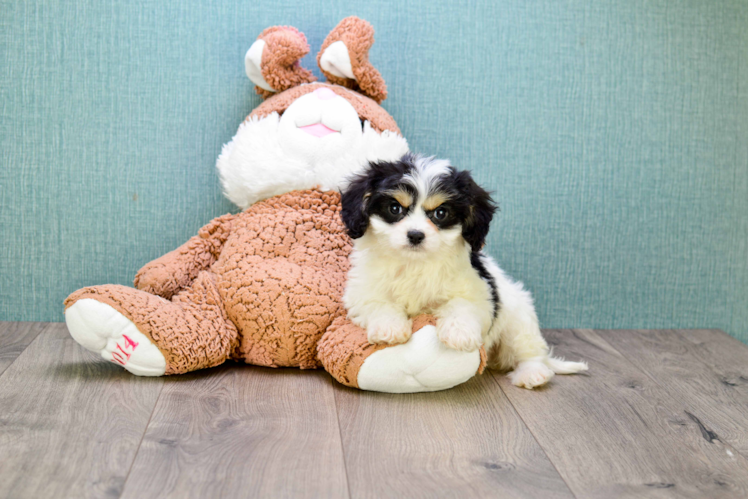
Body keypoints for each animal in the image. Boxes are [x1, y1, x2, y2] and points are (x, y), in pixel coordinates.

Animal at [342, 154, 588, 388]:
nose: (415, 235)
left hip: (517, 319)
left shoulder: (477, 289)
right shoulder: (362, 290)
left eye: (441, 213)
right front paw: (390, 328)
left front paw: (459, 333)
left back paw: (532, 374)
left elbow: (461, 304)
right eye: (395, 208)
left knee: (529, 350)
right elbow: (378, 303)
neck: (415, 263)